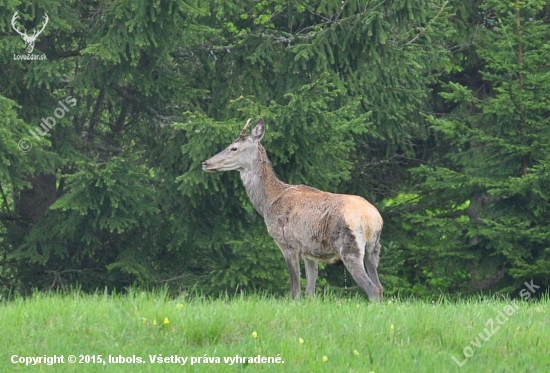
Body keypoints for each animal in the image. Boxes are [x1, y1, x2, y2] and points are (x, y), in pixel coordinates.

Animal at [201, 119, 386, 302]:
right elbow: (310, 293)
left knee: (373, 289)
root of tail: (372, 218)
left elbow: (295, 291)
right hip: (373, 248)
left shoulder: (287, 243)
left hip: (349, 246)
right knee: (380, 286)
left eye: (234, 148)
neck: (267, 203)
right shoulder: (310, 252)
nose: (205, 163)